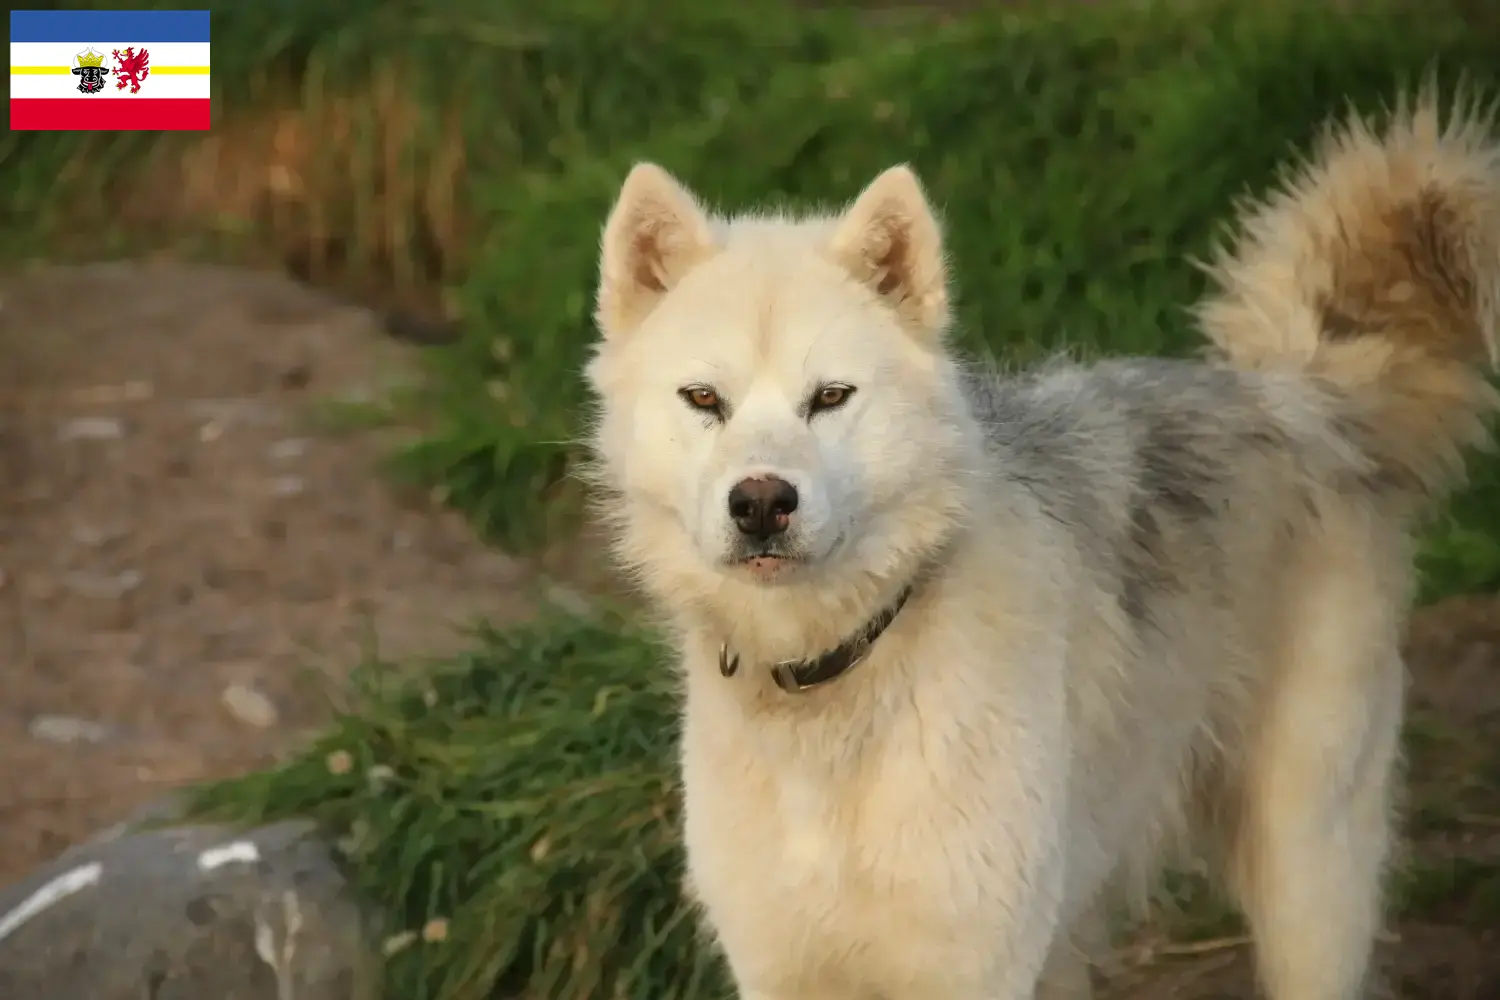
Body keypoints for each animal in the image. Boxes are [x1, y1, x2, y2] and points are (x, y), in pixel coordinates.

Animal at [579, 89, 1494, 995]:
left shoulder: (975, 969)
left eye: (830, 397)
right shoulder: (781, 970)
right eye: (704, 399)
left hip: (1307, 884)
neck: (839, 679)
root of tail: (1298, 394)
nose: (763, 503)